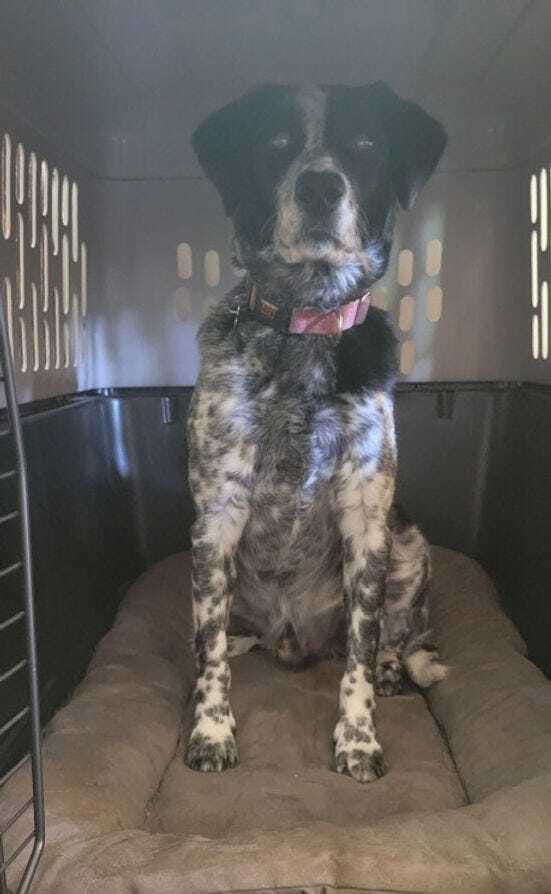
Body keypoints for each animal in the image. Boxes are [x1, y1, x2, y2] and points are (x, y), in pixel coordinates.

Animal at [185, 84, 448, 784]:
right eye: (275, 143)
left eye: (365, 145)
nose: (320, 186)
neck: (305, 323)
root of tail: (291, 640)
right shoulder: (216, 517)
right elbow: (208, 650)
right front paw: (210, 729)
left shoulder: (366, 519)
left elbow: (361, 651)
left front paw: (357, 740)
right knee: (220, 633)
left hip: (410, 546)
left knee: (397, 636)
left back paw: (395, 671)